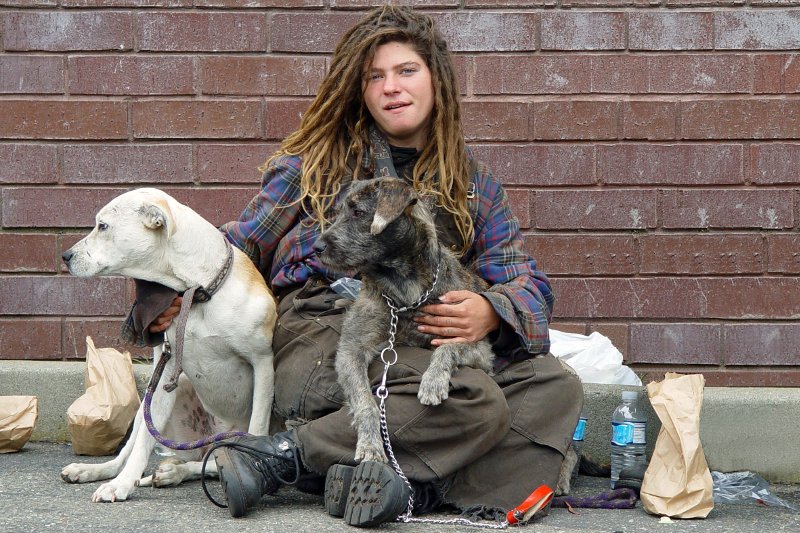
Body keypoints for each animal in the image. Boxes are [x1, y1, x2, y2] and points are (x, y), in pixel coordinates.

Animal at [60, 188, 278, 502]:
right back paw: (101, 471)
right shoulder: (164, 371)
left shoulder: (263, 364)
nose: (65, 256)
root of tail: (212, 436)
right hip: (153, 401)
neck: (197, 291)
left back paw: (175, 471)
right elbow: (141, 445)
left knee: (213, 462)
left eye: (103, 226)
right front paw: (122, 484)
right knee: (133, 451)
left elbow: (257, 428)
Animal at [312, 178, 494, 462]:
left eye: (358, 212)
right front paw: (370, 444)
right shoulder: (351, 351)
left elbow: (447, 348)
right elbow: (365, 401)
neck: (403, 288)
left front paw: (432, 381)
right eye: (339, 212)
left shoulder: (479, 347)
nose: (316, 248)